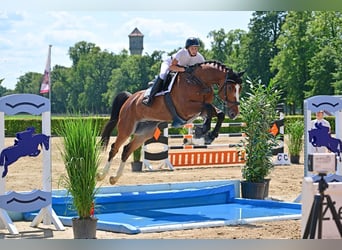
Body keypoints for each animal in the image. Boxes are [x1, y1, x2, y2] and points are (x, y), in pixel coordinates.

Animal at [97, 60, 244, 184]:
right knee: (114, 148)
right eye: (230, 88)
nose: (234, 113)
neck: (198, 81)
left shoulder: (199, 110)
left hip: (145, 132)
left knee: (127, 149)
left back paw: (114, 178)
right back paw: (101, 176)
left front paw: (210, 135)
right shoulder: (186, 108)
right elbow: (207, 108)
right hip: (126, 128)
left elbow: (218, 114)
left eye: (239, 89)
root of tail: (129, 99)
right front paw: (202, 131)